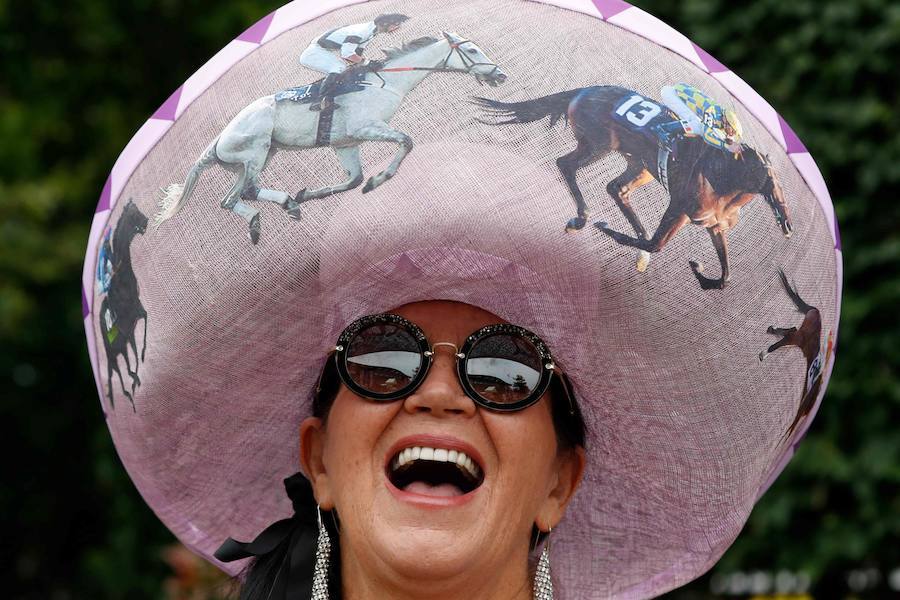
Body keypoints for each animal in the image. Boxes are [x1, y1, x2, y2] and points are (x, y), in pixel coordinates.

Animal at [155, 31, 506, 243]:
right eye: (471, 49)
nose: (500, 74)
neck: (384, 82)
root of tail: (216, 142)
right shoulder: (366, 129)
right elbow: (406, 142)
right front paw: (379, 180)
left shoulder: (345, 143)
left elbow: (353, 180)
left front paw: (310, 193)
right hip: (256, 151)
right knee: (251, 190)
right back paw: (286, 204)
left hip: (254, 159)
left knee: (230, 199)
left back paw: (261, 219)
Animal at [474, 85, 792, 290]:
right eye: (768, 181)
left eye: (776, 184)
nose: (787, 224)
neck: (724, 178)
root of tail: (582, 91)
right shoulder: (679, 208)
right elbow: (656, 243)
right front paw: (606, 229)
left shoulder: (714, 226)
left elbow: (725, 277)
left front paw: (701, 272)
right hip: (598, 144)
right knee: (567, 165)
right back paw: (583, 218)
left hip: (640, 166)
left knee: (616, 188)